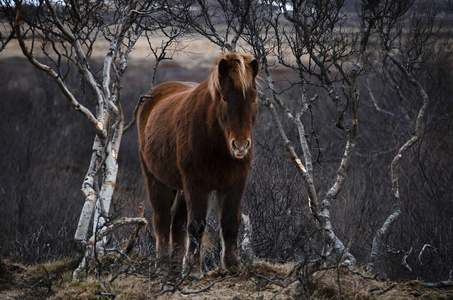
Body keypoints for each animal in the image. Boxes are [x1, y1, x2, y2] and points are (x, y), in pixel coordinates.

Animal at [137, 52, 258, 276]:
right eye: (224, 98)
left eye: (254, 99)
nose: (240, 145)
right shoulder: (197, 185)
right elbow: (196, 225)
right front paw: (194, 269)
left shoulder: (235, 184)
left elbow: (230, 223)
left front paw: (232, 266)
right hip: (156, 180)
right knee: (162, 220)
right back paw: (162, 265)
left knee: (176, 221)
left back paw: (176, 266)